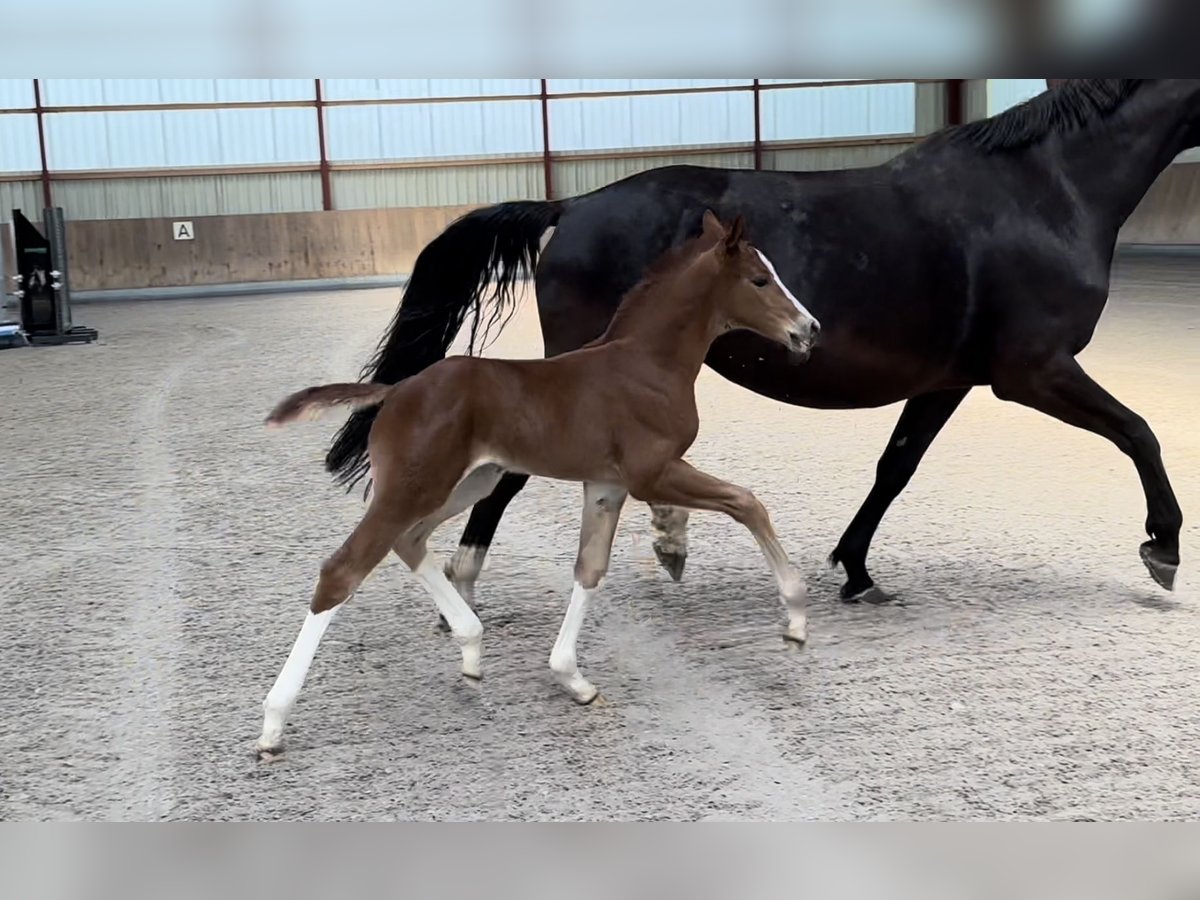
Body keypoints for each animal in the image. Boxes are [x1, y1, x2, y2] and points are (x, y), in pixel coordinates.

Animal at [250, 210, 816, 753]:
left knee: (408, 541)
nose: (808, 329)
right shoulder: (653, 474)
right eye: (760, 280)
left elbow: (590, 568)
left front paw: (572, 678)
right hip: (417, 486)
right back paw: (273, 724)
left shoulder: (606, 486)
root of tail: (397, 390)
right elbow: (747, 502)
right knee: (343, 569)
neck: (646, 364)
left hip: (470, 482)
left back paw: (472, 646)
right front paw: (794, 617)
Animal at [331, 81, 1200, 609]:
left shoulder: (948, 379)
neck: (1044, 190)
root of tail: (572, 205)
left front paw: (856, 570)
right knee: (512, 474)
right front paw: (1163, 546)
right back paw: (467, 589)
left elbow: (895, 469)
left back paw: (660, 542)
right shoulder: (1034, 371)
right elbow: (1140, 432)